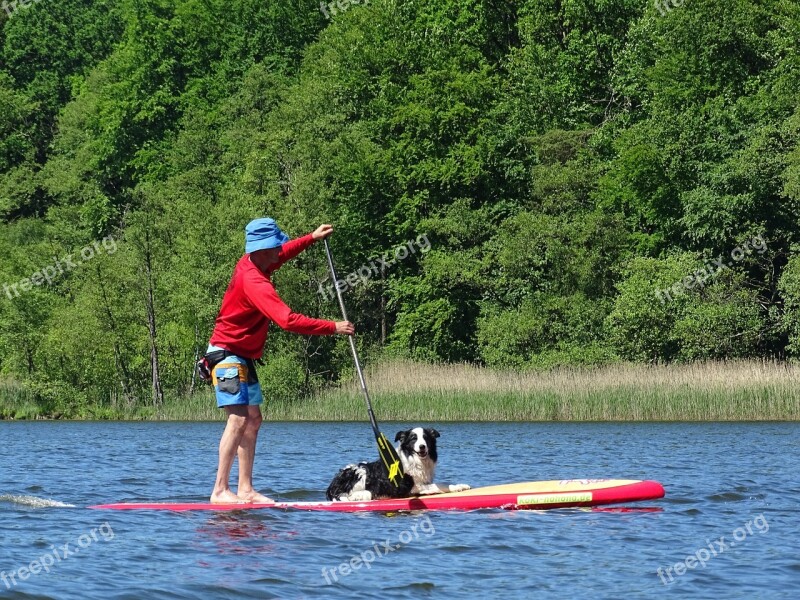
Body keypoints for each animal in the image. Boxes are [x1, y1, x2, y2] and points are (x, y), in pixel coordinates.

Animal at [324, 426, 468, 502]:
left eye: (426, 438)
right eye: (413, 438)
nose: (422, 447)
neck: (414, 460)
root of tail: (332, 485)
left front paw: (460, 486)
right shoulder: (410, 487)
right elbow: (439, 485)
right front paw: (458, 487)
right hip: (360, 473)